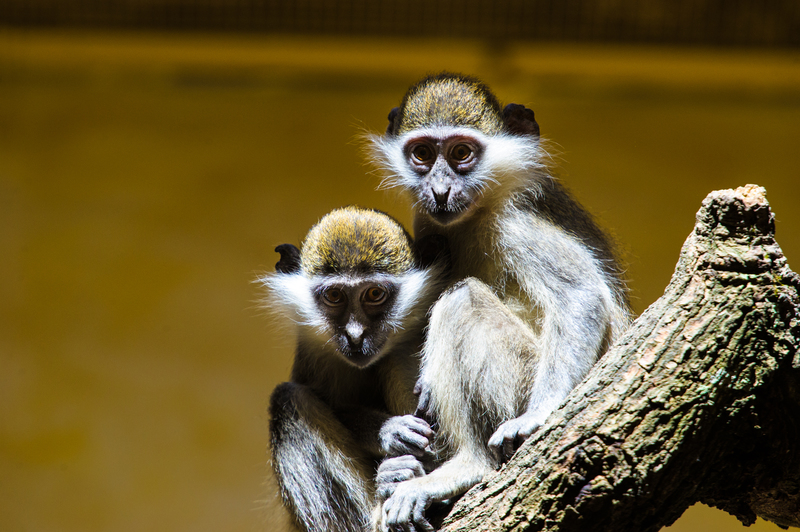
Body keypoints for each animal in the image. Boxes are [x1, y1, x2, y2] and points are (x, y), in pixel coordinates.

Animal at [262, 206, 450, 528]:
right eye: (334, 296)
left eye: (374, 294)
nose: (355, 335)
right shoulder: (313, 348)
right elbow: (332, 404)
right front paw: (389, 431)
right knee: (286, 400)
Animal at [368, 74, 632, 528]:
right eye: (422, 154)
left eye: (461, 153)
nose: (440, 191)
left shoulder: (515, 222)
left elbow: (580, 295)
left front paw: (538, 416)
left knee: (462, 301)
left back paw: (468, 466)